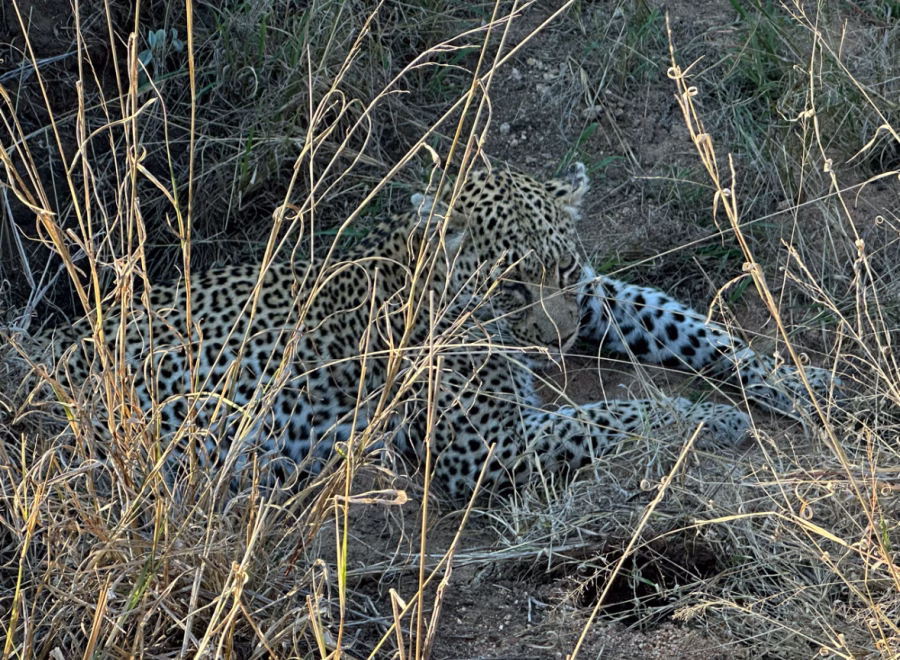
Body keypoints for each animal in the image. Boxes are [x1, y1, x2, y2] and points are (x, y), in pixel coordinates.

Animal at [43, 162, 838, 497]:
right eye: (509, 284)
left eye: (561, 270)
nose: (553, 344)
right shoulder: (483, 447)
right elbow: (615, 413)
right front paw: (705, 419)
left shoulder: (598, 295)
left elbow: (689, 326)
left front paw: (795, 382)